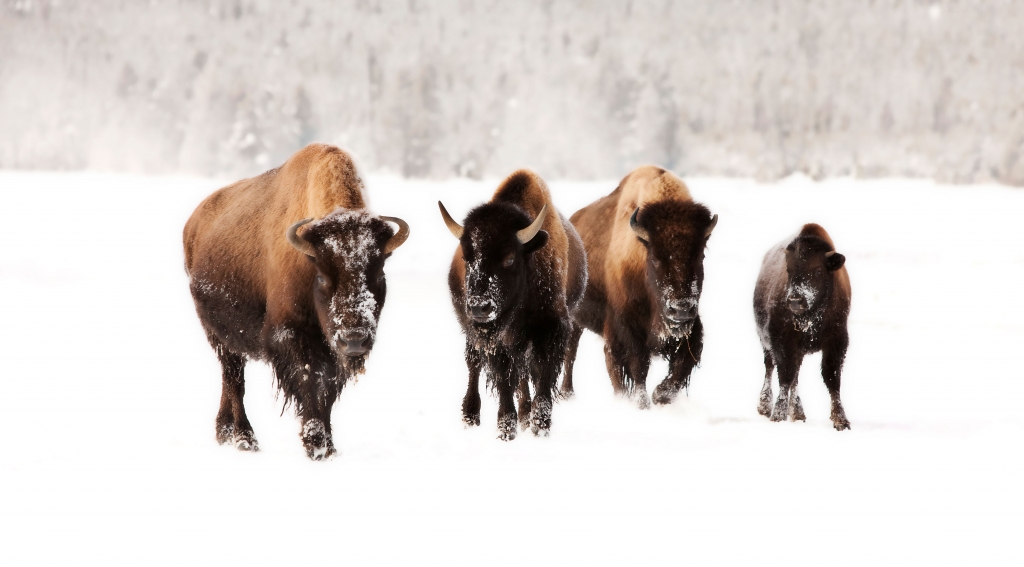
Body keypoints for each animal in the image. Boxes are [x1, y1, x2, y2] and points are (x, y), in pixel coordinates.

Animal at [182, 143, 409, 456]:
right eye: (322, 276)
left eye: (378, 273)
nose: (354, 339)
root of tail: (193, 224)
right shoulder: (290, 334)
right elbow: (309, 380)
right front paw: (315, 445)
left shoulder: (330, 347)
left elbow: (327, 389)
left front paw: (328, 446)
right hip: (218, 335)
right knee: (234, 379)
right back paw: (244, 438)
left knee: (230, 379)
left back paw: (225, 433)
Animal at [438, 169, 585, 440]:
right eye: (466, 257)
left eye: (508, 258)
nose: (479, 307)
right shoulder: (498, 341)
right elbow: (505, 379)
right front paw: (506, 429)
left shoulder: (549, 331)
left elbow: (541, 377)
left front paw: (540, 426)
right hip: (472, 332)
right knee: (474, 364)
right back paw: (470, 417)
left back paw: (526, 416)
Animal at [561, 165, 720, 407]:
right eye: (654, 258)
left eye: (700, 255)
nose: (680, 309)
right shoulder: (625, 327)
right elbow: (636, 364)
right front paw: (640, 402)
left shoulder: (691, 328)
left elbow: (683, 364)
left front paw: (660, 395)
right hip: (573, 316)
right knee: (572, 352)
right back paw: (567, 394)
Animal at [757, 221, 851, 427]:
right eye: (789, 269)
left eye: (818, 270)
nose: (795, 301)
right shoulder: (782, 341)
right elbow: (785, 375)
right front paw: (778, 415)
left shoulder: (837, 340)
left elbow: (832, 378)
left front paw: (841, 420)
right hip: (765, 340)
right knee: (770, 367)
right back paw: (765, 406)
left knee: (795, 376)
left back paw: (798, 413)